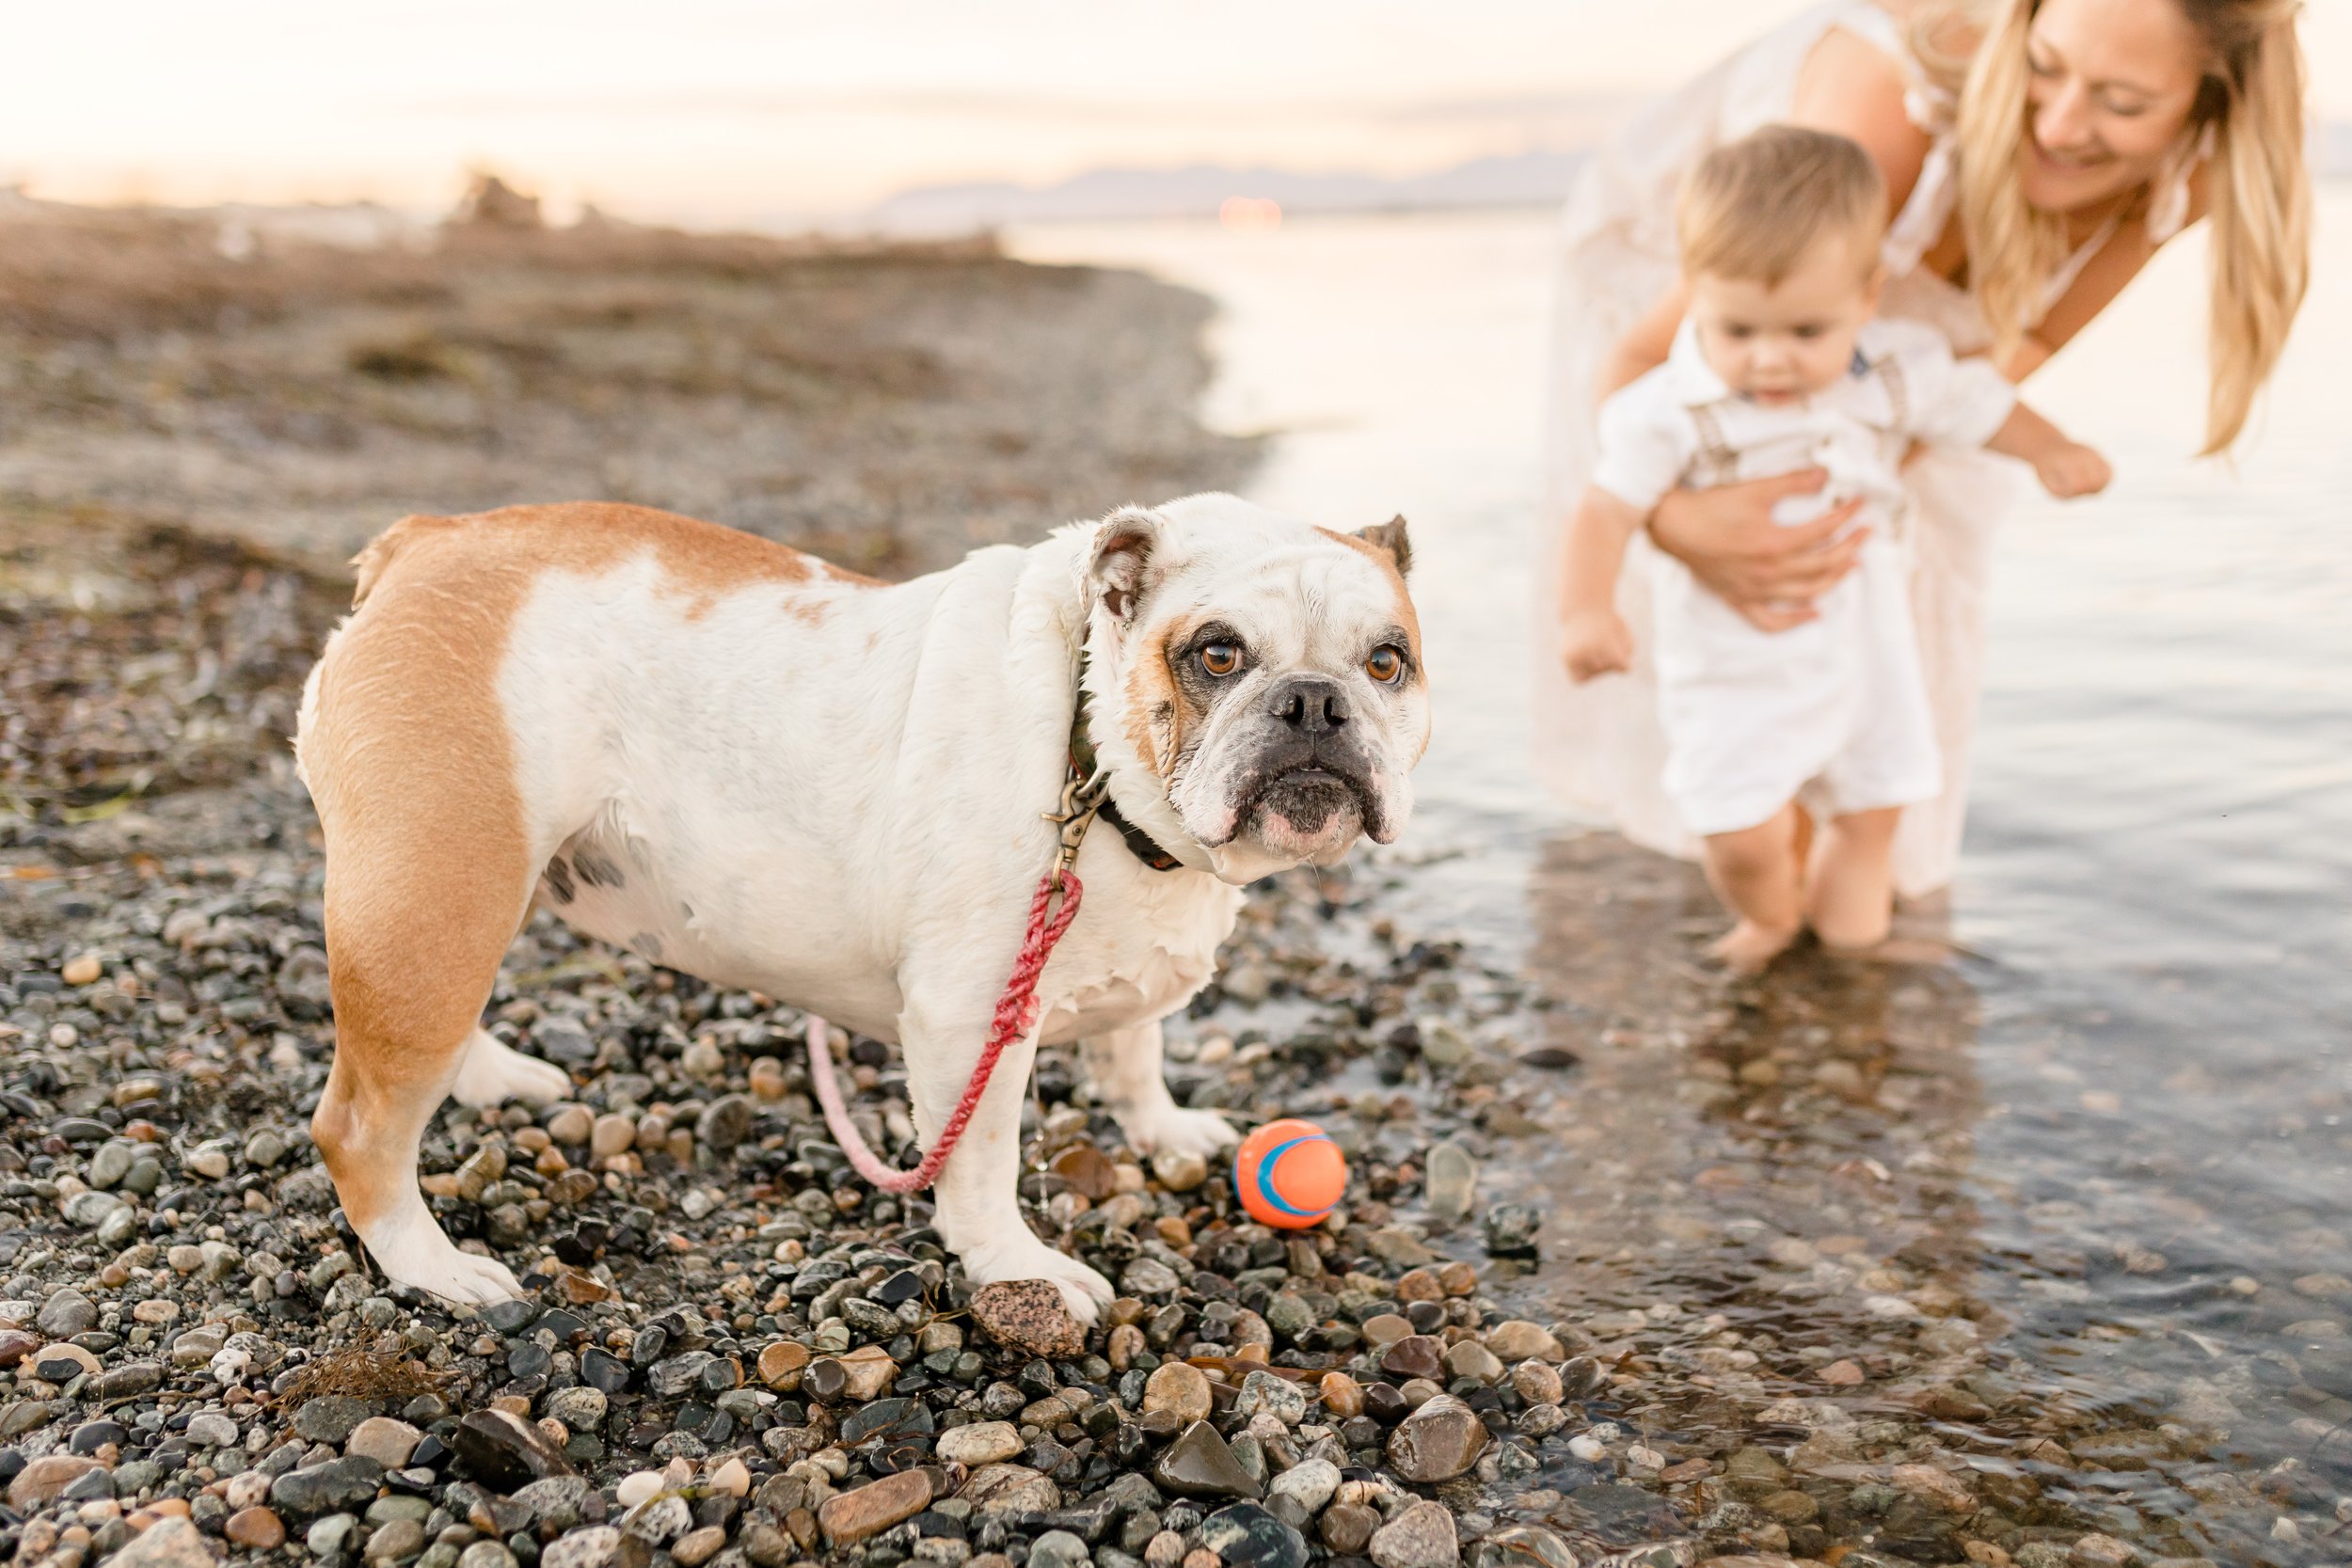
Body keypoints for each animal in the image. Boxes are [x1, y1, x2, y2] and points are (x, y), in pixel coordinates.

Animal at [301, 496, 1421, 1316]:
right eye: (1217, 654)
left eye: (1387, 660)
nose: (1314, 700)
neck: (1089, 746)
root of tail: (423, 543)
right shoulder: (973, 1021)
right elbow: (981, 1164)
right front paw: (1019, 1265)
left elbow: (1134, 1048)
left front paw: (1163, 1124)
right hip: (436, 896)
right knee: (360, 1126)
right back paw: (435, 1267)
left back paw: (489, 1077)